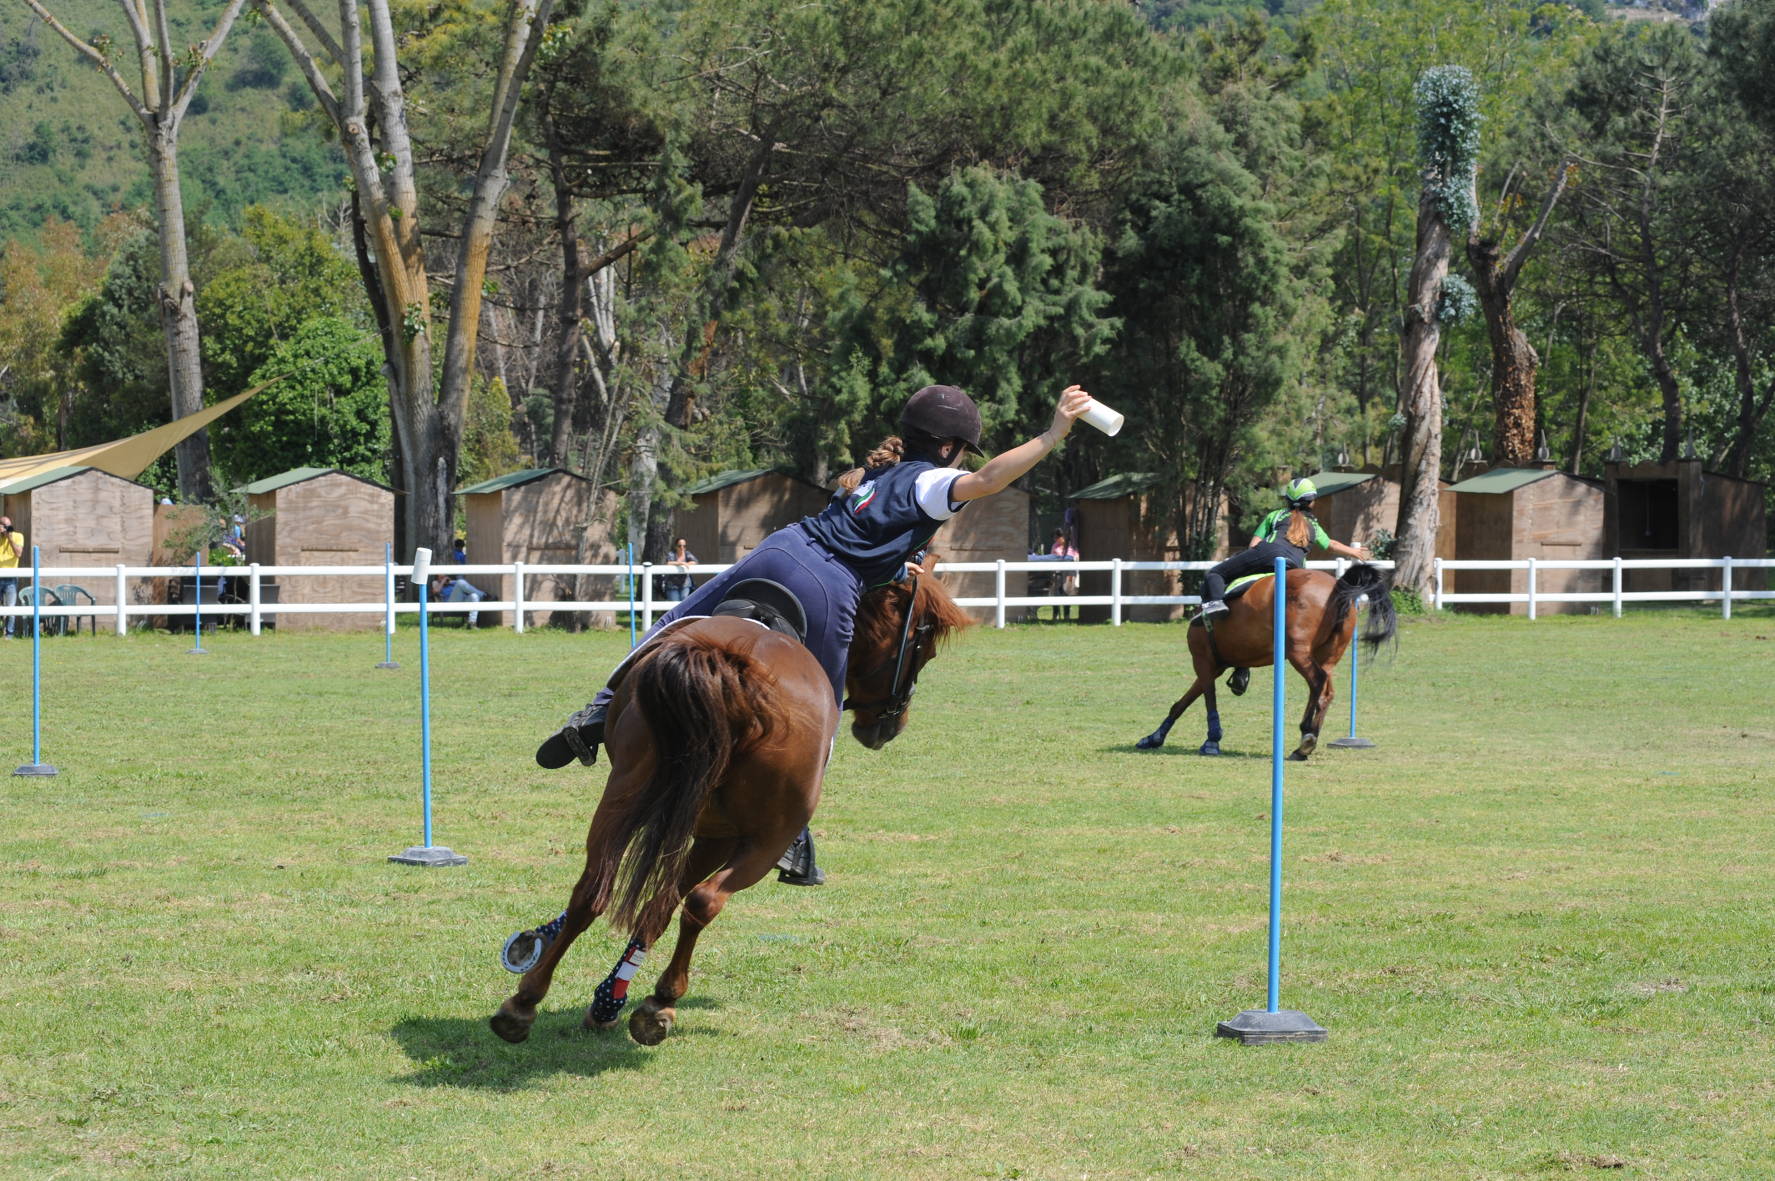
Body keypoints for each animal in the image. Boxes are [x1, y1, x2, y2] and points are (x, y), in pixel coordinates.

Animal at [489, 571, 972, 1044]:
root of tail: (732, 666)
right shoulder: (718, 838)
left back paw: (525, 1002)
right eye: (922, 650)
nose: (889, 726)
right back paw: (659, 1001)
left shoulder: (698, 828)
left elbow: (656, 906)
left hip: (624, 793)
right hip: (763, 838)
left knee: (596, 889)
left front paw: (605, 996)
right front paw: (619, 997)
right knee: (703, 901)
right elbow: (672, 903)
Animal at [1136, 568, 1398, 760]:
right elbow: (1181, 704)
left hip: (1297, 652)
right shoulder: (1214, 667)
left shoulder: (1203, 661)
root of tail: (1337, 587)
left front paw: (1212, 740)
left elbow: (1208, 701)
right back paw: (1305, 743)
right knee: (1326, 692)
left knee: (1317, 682)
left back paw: (1306, 735)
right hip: (1327, 656)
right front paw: (1154, 737)